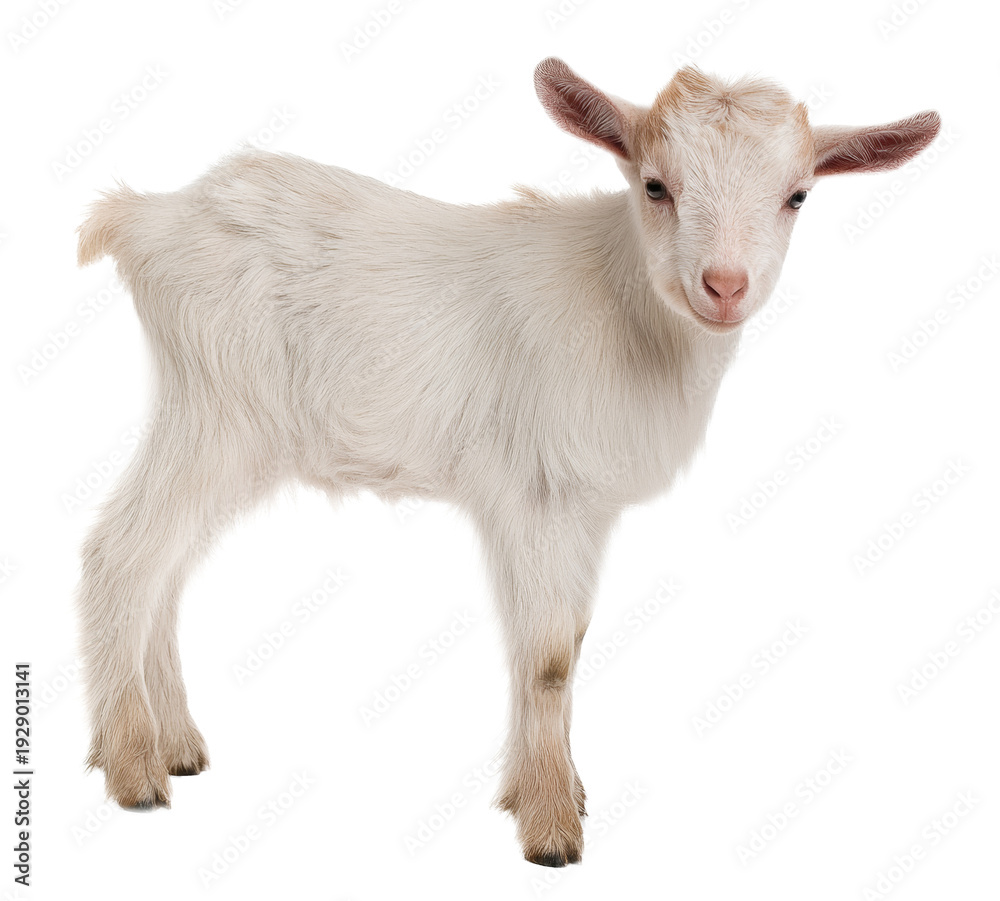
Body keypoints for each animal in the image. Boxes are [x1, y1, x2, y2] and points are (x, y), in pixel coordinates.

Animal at [75, 57, 940, 867]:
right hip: (219, 410)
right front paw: (551, 827)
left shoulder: (585, 507)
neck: (625, 307)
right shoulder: (533, 493)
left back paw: (176, 744)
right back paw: (133, 768)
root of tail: (148, 218)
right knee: (124, 553)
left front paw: (555, 787)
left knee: (166, 568)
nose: (724, 286)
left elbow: (574, 641)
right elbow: (549, 656)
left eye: (797, 195)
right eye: (656, 185)